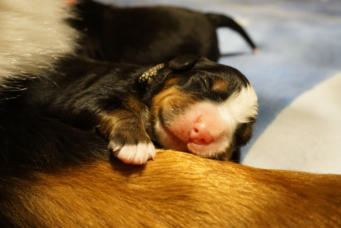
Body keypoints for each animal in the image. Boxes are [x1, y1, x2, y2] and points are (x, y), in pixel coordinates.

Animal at [0, 55, 255, 173]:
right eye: (205, 83)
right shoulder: (84, 95)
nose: (203, 132)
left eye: (240, 137)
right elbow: (122, 110)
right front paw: (136, 144)